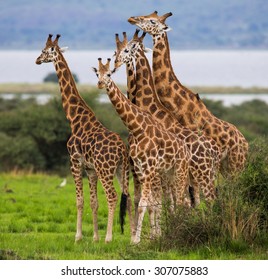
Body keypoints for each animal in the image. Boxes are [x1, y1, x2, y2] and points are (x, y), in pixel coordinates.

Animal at [35, 33, 135, 243]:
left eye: (44, 51)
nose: (37, 60)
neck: (75, 119)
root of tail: (122, 150)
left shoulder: (74, 162)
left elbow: (79, 200)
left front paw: (79, 236)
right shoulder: (91, 169)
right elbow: (93, 201)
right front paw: (95, 237)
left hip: (106, 170)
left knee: (113, 196)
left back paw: (109, 238)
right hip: (121, 169)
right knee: (127, 196)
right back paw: (132, 238)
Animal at [93, 57, 189, 243]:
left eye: (109, 74)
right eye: (97, 74)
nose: (100, 83)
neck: (137, 129)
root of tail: (186, 151)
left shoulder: (150, 169)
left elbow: (143, 204)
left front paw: (137, 240)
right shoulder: (140, 169)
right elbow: (144, 203)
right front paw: (140, 238)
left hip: (180, 170)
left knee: (182, 200)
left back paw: (182, 229)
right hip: (169, 173)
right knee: (182, 200)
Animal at [114, 30, 221, 206]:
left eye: (128, 48)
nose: (115, 62)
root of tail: (214, 149)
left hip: (201, 172)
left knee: (208, 199)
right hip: (204, 174)